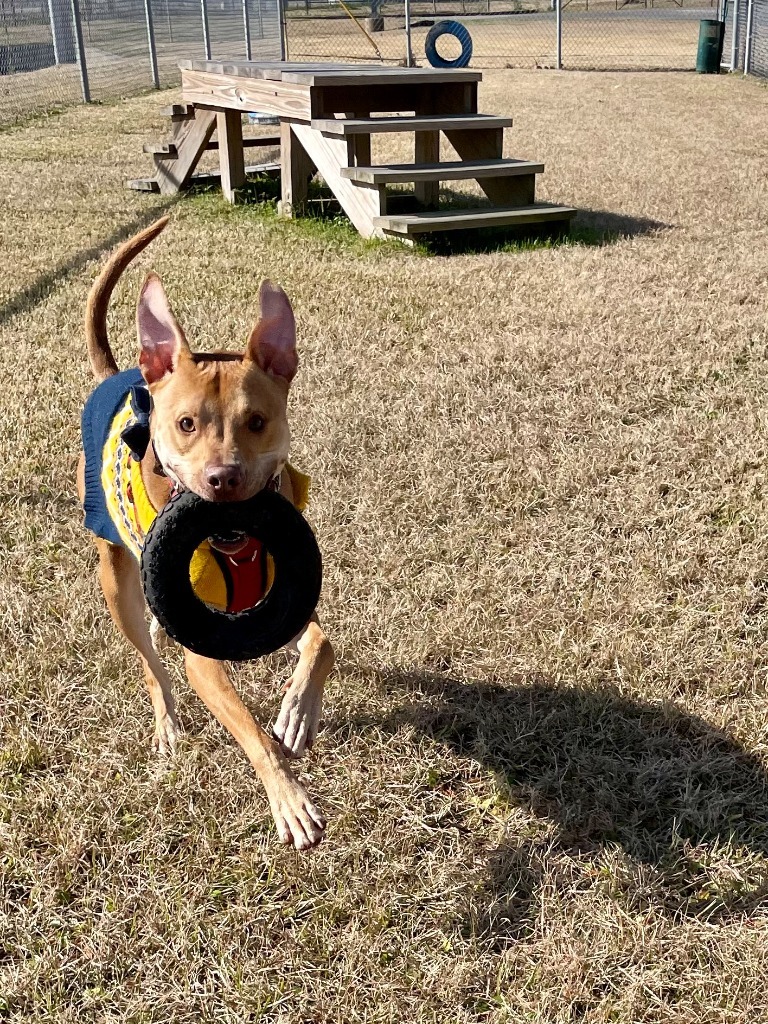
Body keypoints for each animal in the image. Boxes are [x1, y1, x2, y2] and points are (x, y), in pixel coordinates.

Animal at [75, 214, 333, 847]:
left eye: (257, 421)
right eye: (186, 423)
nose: (223, 479)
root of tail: (122, 373)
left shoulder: (287, 602)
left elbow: (322, 643)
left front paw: (298, 712)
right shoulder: (204, 662)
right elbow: (253, 733)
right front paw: (289, 799)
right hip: (113, 574)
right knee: (148, 660)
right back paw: (167, 721)